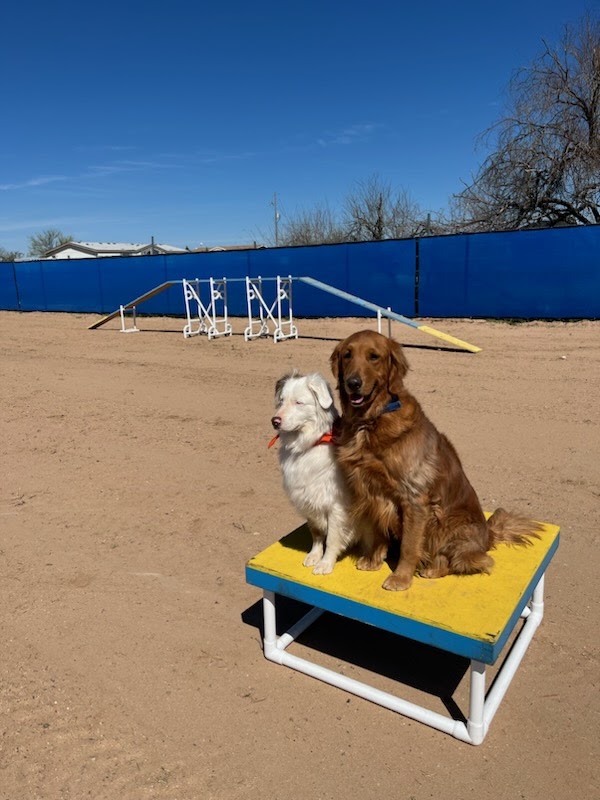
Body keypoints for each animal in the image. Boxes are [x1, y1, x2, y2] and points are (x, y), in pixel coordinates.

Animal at [270, 372, 354, 572]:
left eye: (299, 402)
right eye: (281, 401)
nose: (275, 421)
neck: (308, 446)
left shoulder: (336, 505)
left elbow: (332, 537)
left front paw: (325, 563)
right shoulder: (307, 499)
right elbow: (316, 533)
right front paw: (314, 555)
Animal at [330, 328, 540, 592]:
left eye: (374, 357)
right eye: (347, 355)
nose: (353, 383)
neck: (370, 422)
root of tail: (487, 536)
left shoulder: (414, 499)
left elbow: (409, 546)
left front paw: (400, 578)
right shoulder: (372, 491)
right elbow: (379, 532)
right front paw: (373, 560)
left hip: (448, 524)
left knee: (469, 561)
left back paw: (433, 568)